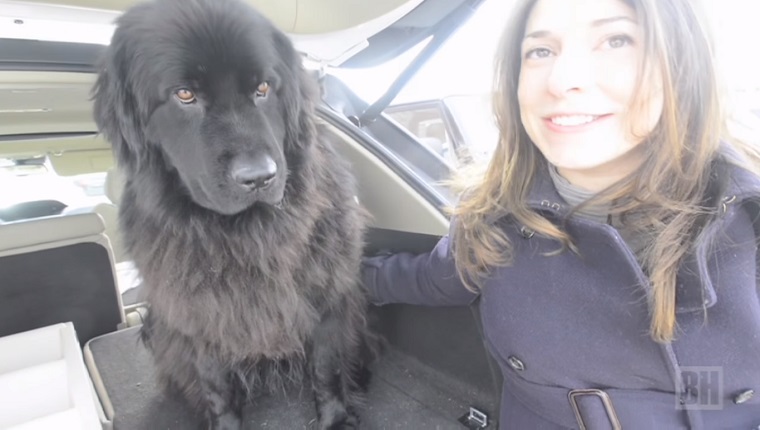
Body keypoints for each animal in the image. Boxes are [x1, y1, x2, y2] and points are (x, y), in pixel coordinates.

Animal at [91, 0, 374, 426]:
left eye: (263, 88)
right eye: (184, 94)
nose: (259, 177)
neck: (243, 236)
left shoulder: (327, 295)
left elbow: (327, 366)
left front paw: (336, 420)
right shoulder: (201, 315)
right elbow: (217, 385)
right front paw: (224, 422)